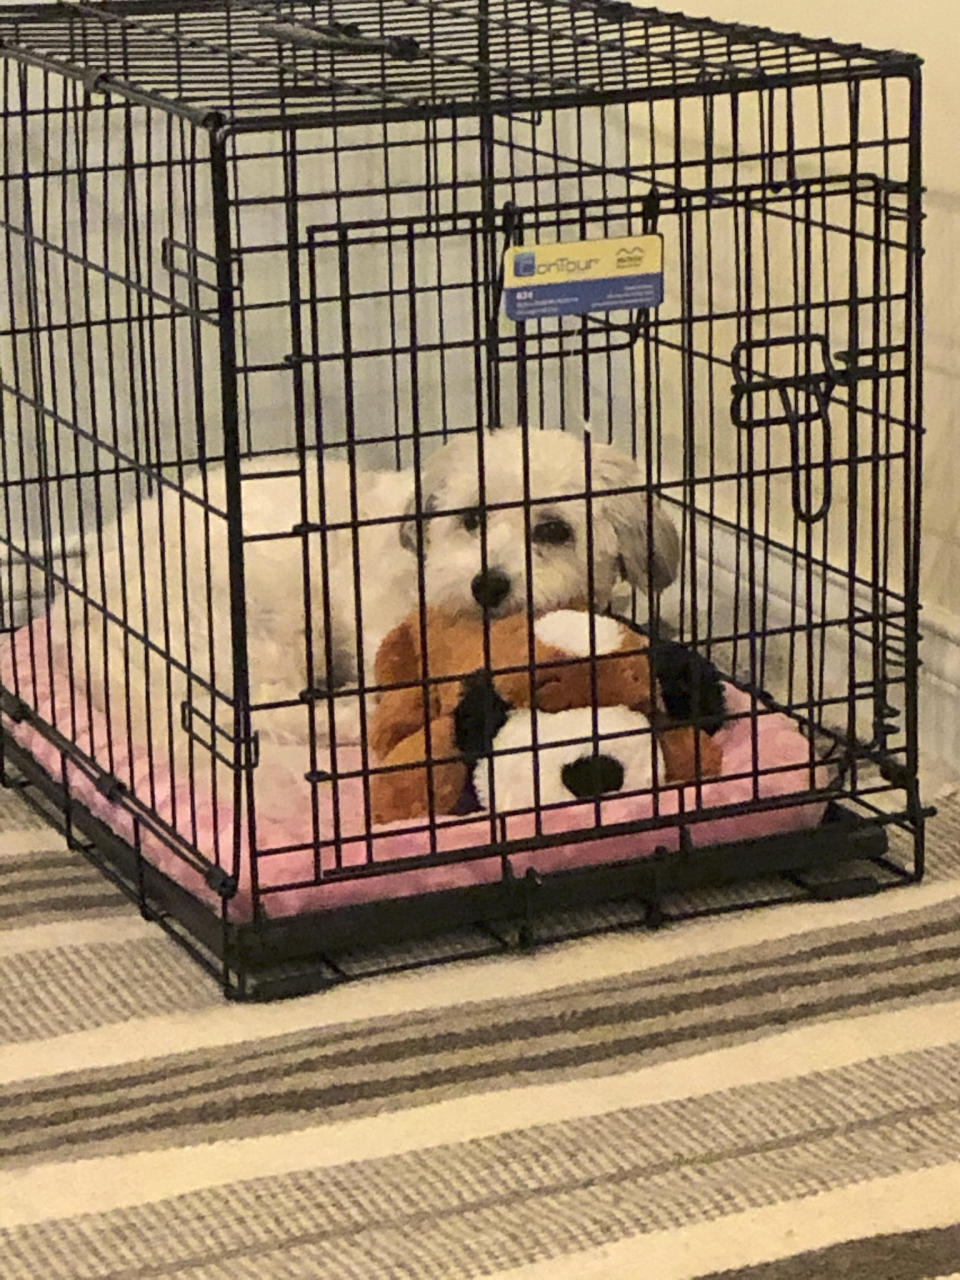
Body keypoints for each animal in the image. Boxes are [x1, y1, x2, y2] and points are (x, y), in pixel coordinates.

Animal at [48, 424, 680, 773]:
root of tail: (81, 614)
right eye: (471, 519)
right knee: (271, 706)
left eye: (553, 530)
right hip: (275, 605)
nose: (487, 584)